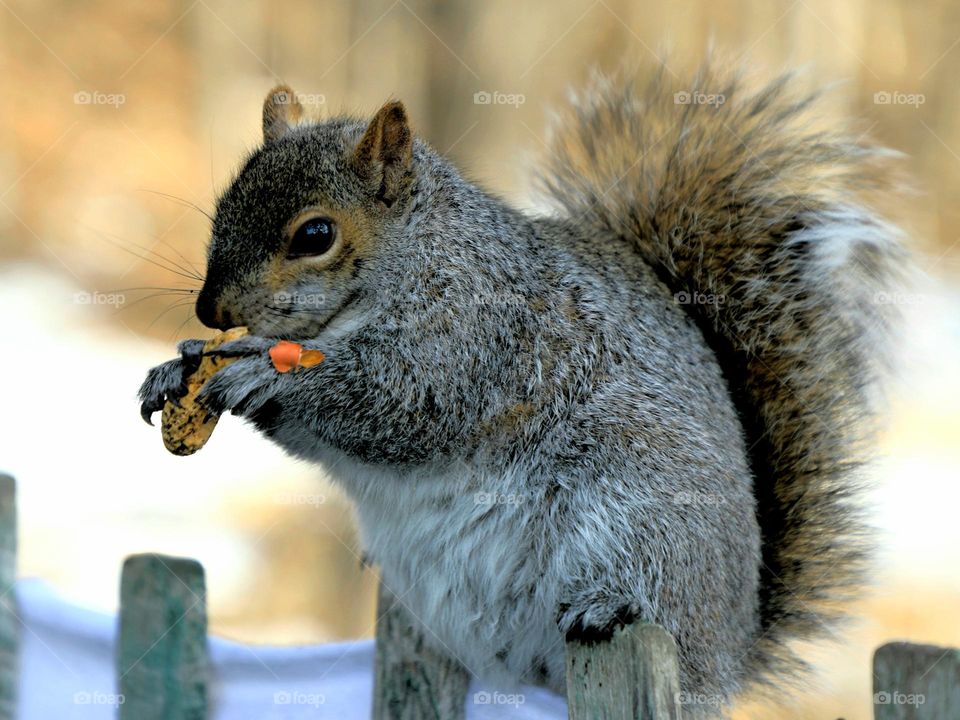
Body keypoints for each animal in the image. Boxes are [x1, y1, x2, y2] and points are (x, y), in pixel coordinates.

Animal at [139, 62, 904, 716]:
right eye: (223, 209)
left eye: (315, 235)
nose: (210, 310)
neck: (417, 258)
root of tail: (731, 657)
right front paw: (176, 368)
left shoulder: (477, 339)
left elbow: (398, 405)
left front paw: (259, 369)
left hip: (646, 516)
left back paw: (611, 604)